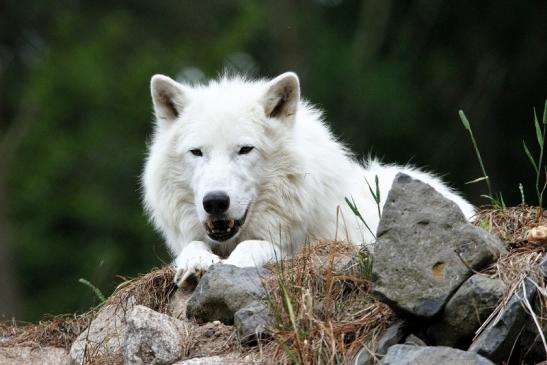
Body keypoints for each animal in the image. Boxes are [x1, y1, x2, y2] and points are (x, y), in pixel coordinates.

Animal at [144, 71, 476, 286]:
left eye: (245, 149)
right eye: (197, 152)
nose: (214, 202)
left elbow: (257, 246)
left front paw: (233, 263)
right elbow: (192, 247)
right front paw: (196, 263)